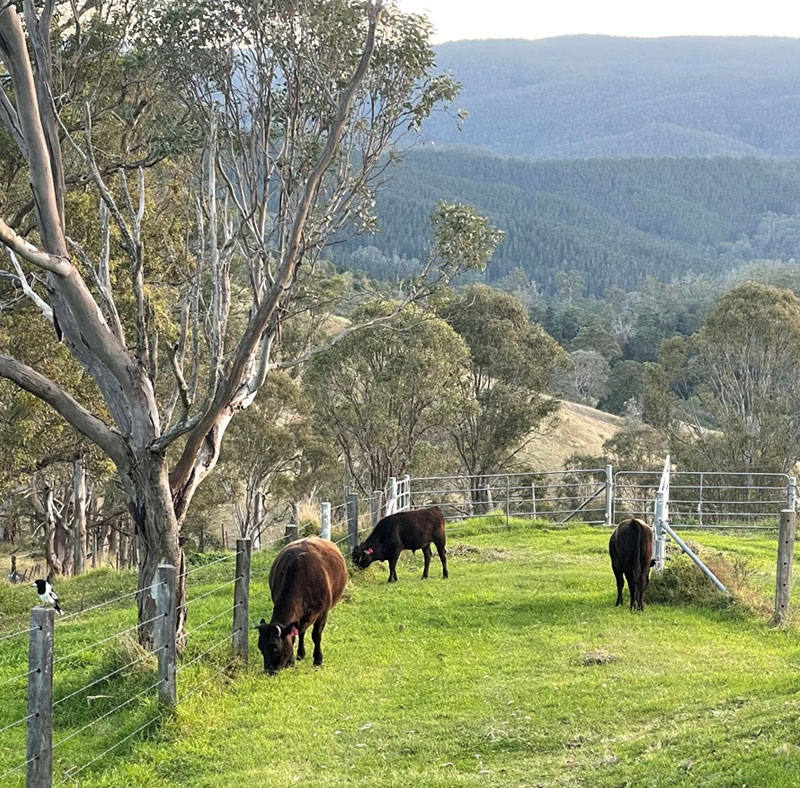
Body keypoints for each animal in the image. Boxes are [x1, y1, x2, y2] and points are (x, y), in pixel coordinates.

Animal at [255, 532, 346, 676]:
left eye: (275, 648)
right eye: (260, 647)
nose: (269, 671)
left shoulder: (323, 613)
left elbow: (316, 636)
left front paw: (318, 660)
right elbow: (293, 636)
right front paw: (291, 662)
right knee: (301, 632)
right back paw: (300, 654)